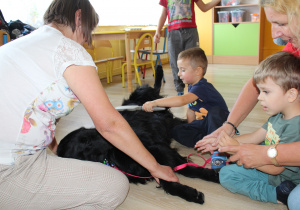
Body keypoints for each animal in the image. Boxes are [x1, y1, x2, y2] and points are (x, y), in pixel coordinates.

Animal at [57, 84, 219, 204]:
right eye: (86, 142)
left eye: (91, 135)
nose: (128, 134)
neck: (114, 156)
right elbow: (168, 180)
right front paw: (190, 193)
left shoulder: (159, 149)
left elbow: (187, 168)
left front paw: (213, 175)